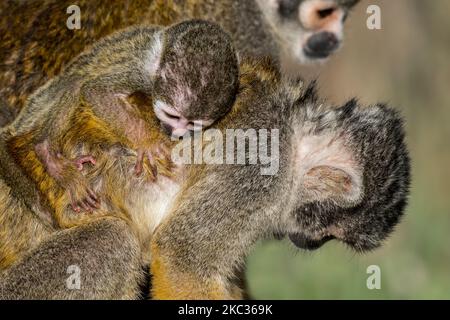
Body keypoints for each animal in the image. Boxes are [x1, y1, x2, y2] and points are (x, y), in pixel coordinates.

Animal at [0, 56, 410, 298]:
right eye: (325, 230)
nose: (313, 243)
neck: (294, 135)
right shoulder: (260, 169)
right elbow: (183, 258)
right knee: (111, 240)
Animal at [7, 20, 239, 215]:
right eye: (171, 115)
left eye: (192, 124)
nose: (177, 132)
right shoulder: (139, 72)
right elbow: (96, 91)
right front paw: (148, 142)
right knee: (76, 83)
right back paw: (48, 154)